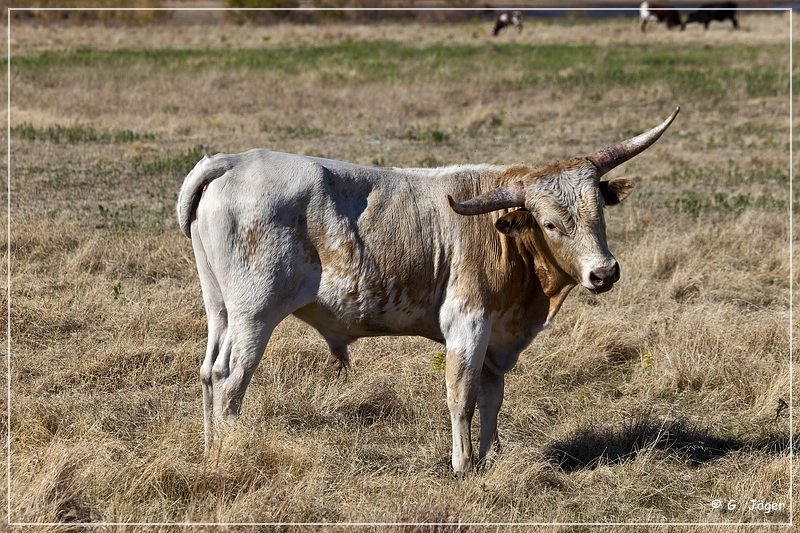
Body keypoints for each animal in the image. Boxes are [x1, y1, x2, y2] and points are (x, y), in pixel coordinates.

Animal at [177, 106, 680, 476]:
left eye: (599, 211)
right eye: (551, 224)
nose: (604, 273)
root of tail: (234, 160)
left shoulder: (495, 336)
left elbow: (492, 396)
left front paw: (489, 457)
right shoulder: (468, 323)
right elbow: (462, 395)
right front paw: (462, 464)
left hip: (220, 309)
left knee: (207, 372)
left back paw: (209, 450)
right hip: (255, 313)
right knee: (230, 377)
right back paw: (230, 453)